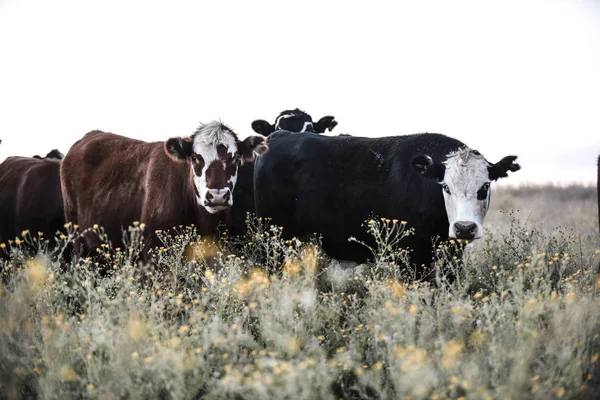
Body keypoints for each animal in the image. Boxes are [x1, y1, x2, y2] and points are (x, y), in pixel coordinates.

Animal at [253, 131, 520, 276]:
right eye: (445, 187)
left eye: (484, 187)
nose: (464, 228)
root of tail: (280, 136)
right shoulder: (413, 257)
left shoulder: (451, 254)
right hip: (273, 239)